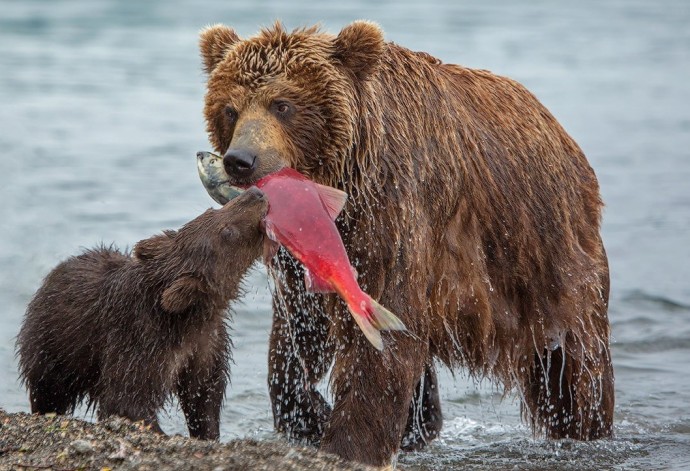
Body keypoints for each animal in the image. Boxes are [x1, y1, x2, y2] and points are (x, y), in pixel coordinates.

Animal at [199, 21, 612, 464]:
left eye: (283, 104)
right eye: (230, 109)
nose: (240, 161)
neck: (344, 180)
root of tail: (559, 130)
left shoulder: (392, 216)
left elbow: (382, 343)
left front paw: (350, 442)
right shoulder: (305, 261)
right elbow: (297, 337)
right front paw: (311, 415)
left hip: (545, 257)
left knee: (575, 367)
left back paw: (585, 428)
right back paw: (420, 427)